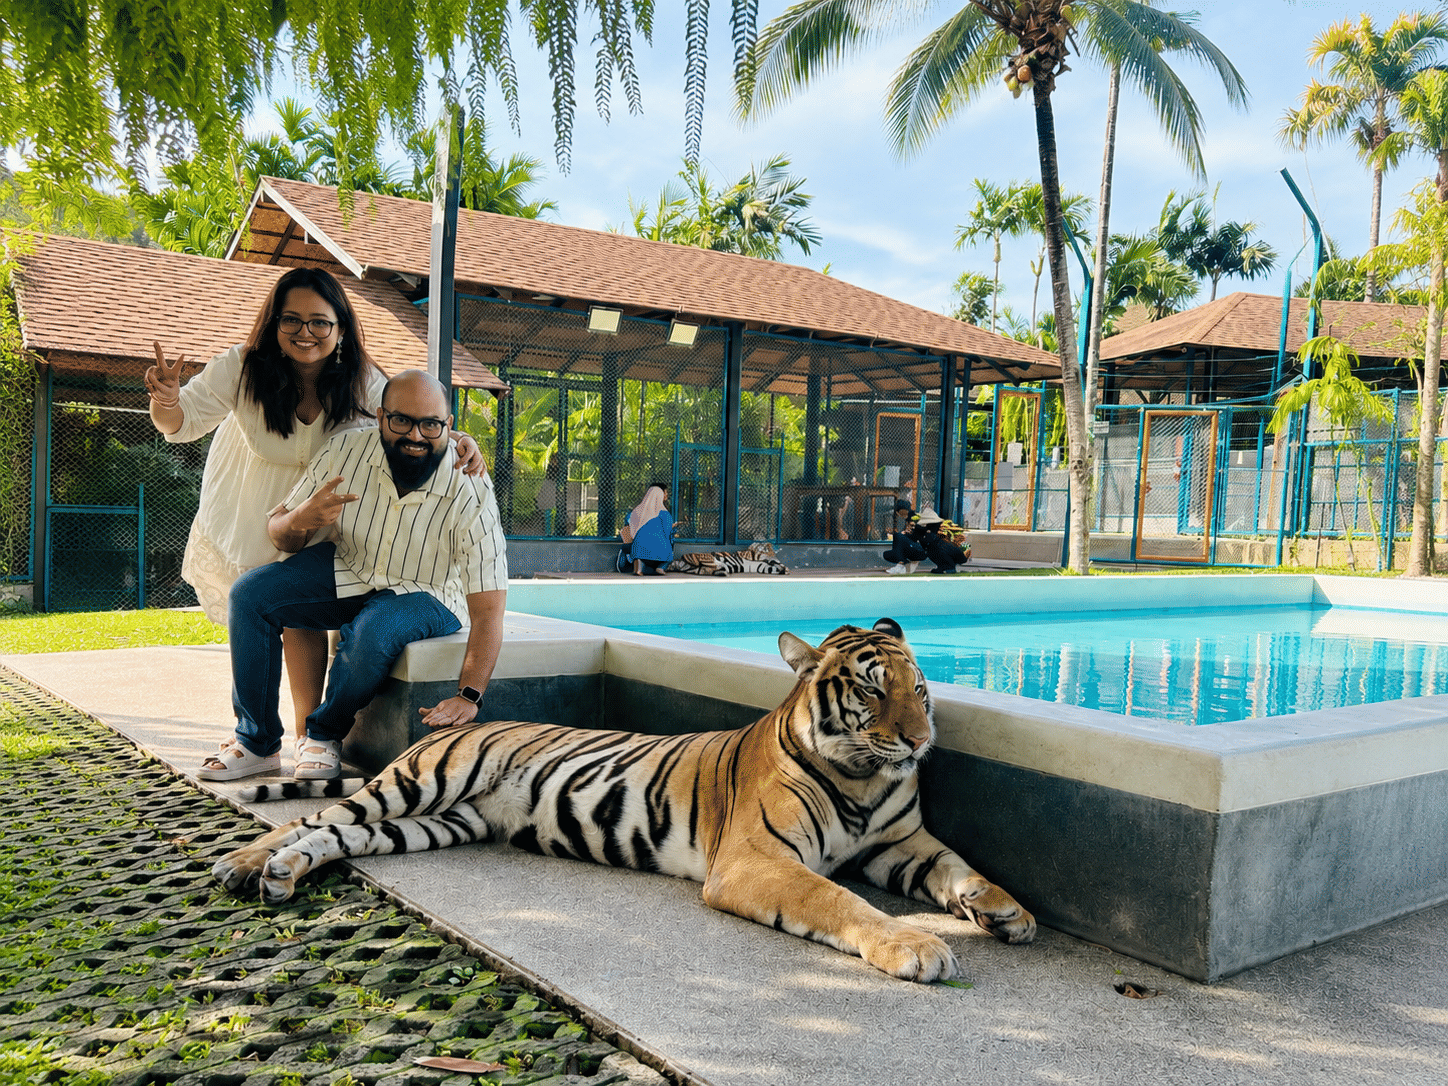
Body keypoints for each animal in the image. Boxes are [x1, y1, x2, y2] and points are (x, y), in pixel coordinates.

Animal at [210, 618, 1034, 982]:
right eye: (871, 691)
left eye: (921, 690)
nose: (922, 741)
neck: (863, 775)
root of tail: (453, 725)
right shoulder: (755, 861)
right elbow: (839, 900)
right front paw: (918, 946)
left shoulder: (901, 845)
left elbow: (960, 867)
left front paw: (1008, 913)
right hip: (421, 784)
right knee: (311, 818)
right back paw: (244, 865)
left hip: (434, 823)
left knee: (333, 838)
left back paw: (281, 876)